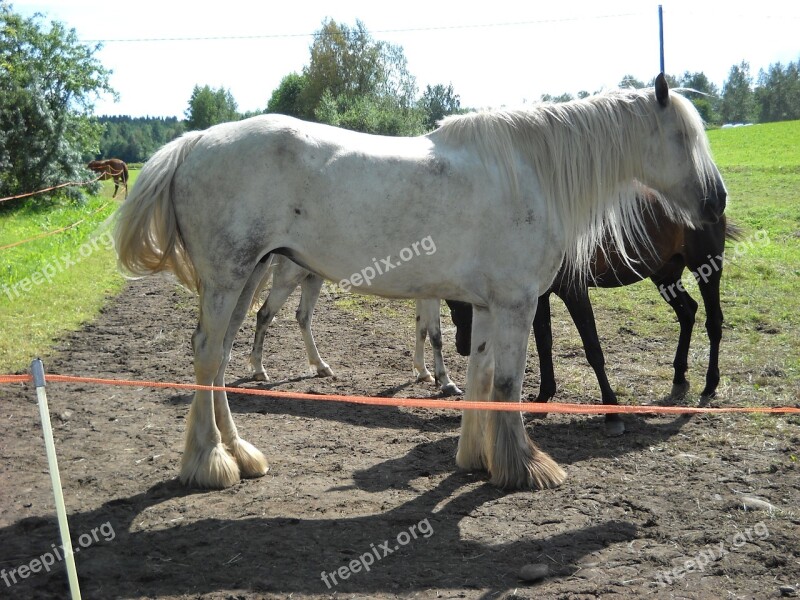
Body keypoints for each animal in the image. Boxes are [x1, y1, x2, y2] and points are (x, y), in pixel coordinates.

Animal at [248, 253, 462, 394]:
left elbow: (421, 330)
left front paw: (423, 372)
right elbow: (435, 336)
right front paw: (446, 382)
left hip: (312, 277)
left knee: (303, 316)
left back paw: (321, 366)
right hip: (289, 279)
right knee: (264, 314)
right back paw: (259, 370)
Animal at [446, 192, 740, 436]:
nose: (463, 346)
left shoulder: (575, 291)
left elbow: (593, 350)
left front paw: (612, 413)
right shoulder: (540, 295)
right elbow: (544, 344)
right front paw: (543, 397)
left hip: (706, 267)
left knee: (713, 322)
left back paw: (710, 384)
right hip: (664, 273)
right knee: (687, 313)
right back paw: (679, 379)